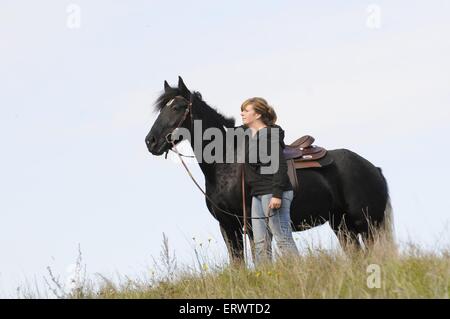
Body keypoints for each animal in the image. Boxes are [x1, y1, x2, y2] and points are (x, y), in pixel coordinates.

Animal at [146, 77, 392, 262]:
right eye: (160, 110)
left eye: (177, 107)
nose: (150, 141)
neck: (227, 164)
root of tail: (373, 168)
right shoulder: (228, 227)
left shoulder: (250, 225)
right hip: (341, 225)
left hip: (368, 225)